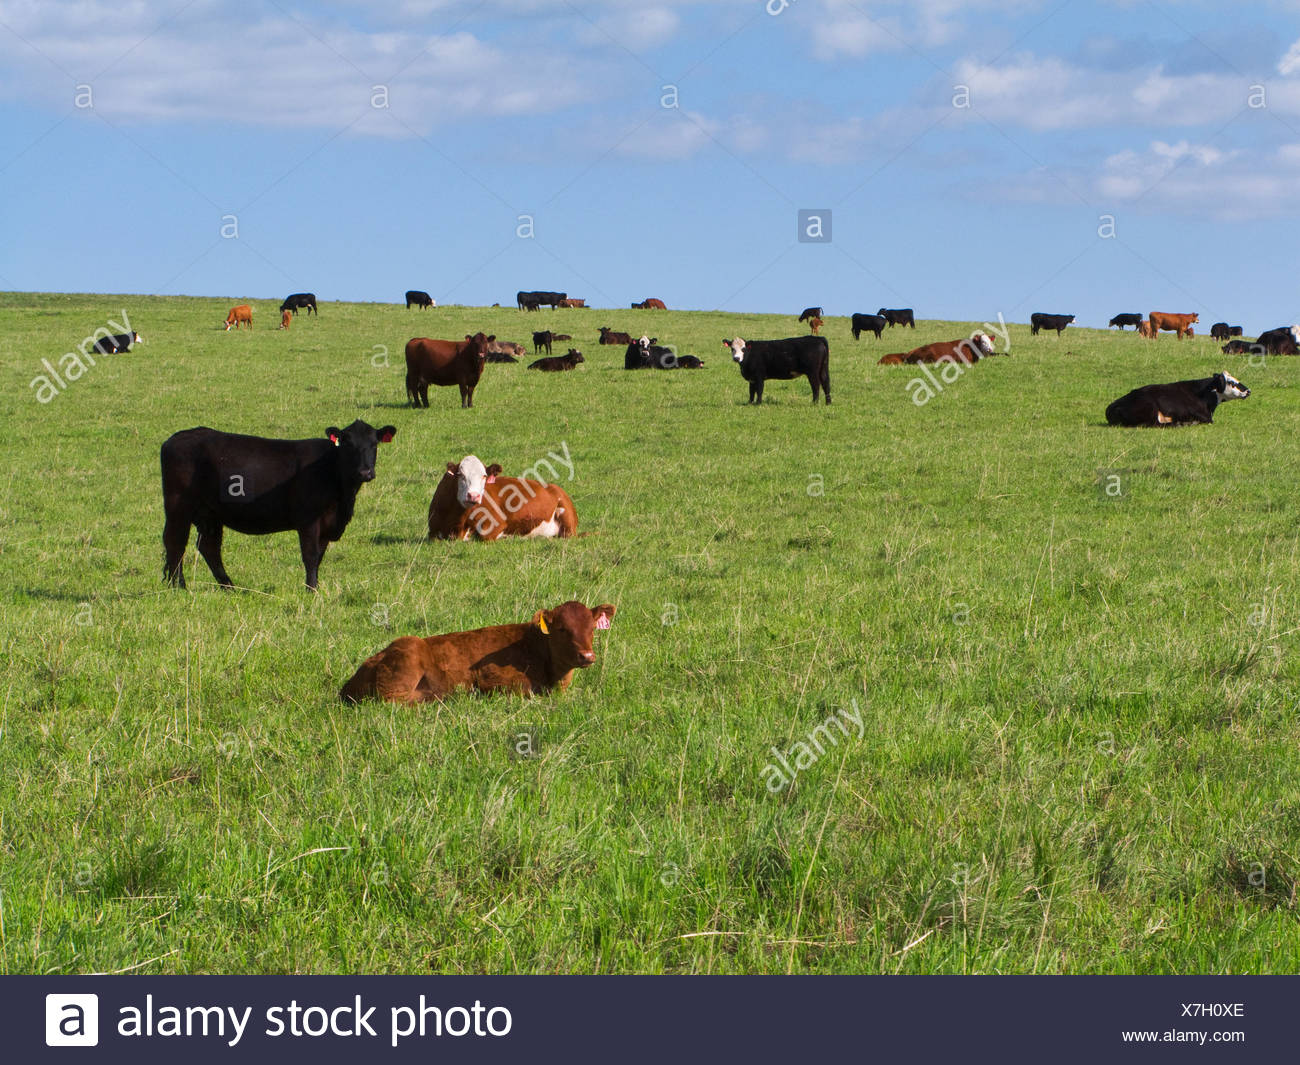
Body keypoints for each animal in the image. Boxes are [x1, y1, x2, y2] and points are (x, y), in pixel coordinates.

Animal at [160, 420, 395, 591]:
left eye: (374, 444)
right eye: (348, 444)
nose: (365, 472)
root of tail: (177, 437)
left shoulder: (328, 525)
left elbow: (319, 556)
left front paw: (315, 586)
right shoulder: (308, 520)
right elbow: (310, 555)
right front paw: (311, 590)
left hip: (210, 514)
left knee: (209, 548)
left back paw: (229, 587)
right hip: (178, 507)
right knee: (175, 543)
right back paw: (179, 586)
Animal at [427, 455, 578, 541]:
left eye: (484, 476)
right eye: (460, 475)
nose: (474, 496)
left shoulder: (496, 524)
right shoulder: (432, 532)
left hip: (567, 527)